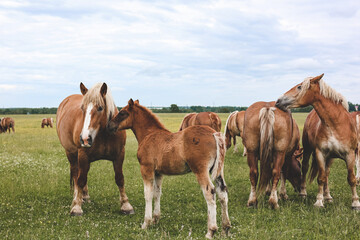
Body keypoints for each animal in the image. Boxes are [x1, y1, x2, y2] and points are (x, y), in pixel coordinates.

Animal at [55, 82, 134, 216]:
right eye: (82, 108)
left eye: (100, 108)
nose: (85, 138)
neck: (103, 134)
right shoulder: (82, 155)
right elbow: (80, 179)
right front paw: (76, 207)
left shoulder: (119, 154)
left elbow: (120, 178)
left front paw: (126, 205)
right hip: (71, 154)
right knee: (76, 175)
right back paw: (77, 197)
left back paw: (85, 196)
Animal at [107, 99, 231, 238]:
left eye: (122, 113)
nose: (109, 125)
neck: (149, 135)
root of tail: (214, 133)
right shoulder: (158, 173)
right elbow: (157, 193)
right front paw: (155, 220)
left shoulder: (146, 169)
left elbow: (148, 194)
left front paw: (146, 223)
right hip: (218, 170)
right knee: (222, 192)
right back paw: (225, 228)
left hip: (200, 170)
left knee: (210, 192)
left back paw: (211, 231)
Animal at [276, 74, 360, 209]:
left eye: (299, 87)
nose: (278, 100)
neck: (335, 124)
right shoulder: (320, 153)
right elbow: (320, 178)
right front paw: (319, 201)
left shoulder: (350, 155)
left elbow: (351, 178)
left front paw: (355, 203)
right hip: (308, 150)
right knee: (306, 168)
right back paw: (303, 193)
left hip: (330, 158)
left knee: (327, 173)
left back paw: (328, 196)